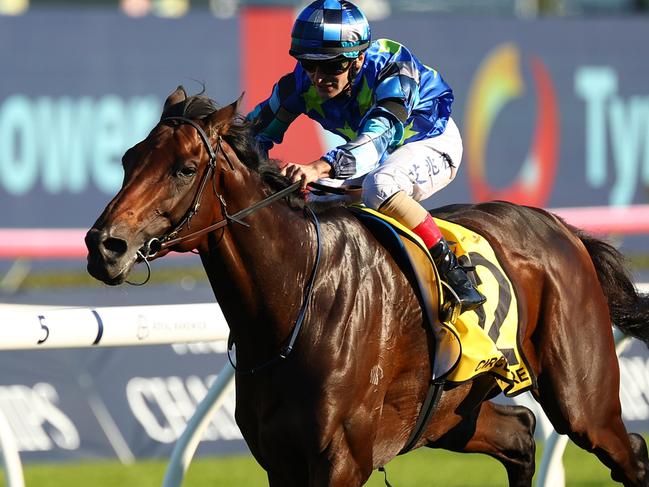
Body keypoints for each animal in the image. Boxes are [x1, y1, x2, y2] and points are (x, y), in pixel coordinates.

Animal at [85, 86, 648, 486]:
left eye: (184, 169)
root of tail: (563, 229)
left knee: (629, 454)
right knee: (522, 435)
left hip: (583, 402)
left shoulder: (341, 461)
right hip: (448, 415)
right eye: (128, 159)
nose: (103, 245)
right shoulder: (280, 461)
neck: (295, 300)